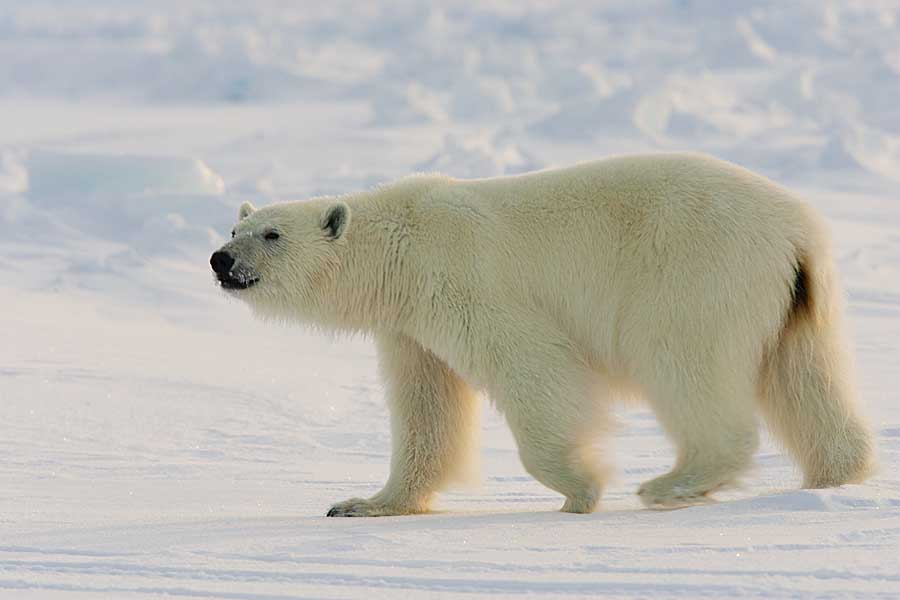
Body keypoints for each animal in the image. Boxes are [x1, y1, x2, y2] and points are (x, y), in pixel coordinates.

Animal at [209, 152, 872, 512]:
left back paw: (672, 483)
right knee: (807, 379)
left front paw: (582, 485)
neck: (402, 245)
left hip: (695, 268)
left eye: (271, 234)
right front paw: (363, 504)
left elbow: (532, 366)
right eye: (235, 228)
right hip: (797, 302)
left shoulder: (462, 279)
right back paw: (834, 476)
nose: (220, 259)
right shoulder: (409, 327)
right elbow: (427, 408)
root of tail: (797, 229)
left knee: (682, 359)